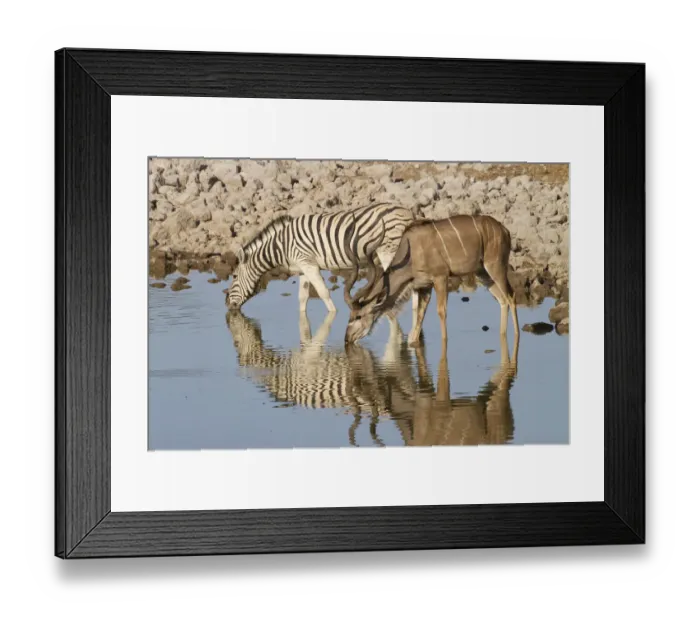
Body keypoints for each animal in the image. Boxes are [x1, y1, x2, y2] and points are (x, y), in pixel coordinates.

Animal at [225, 203, 420, 324]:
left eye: (234, 276)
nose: (227, 305)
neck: (281, 246)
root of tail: (407, 211)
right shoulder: (303, 267)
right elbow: (303, 297)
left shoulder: (309, 264)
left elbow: (323, 293)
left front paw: (333, 316)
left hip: (389, 250)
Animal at [343, 214, 521, 348]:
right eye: (350, 316)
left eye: (358, 316)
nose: (347, 339)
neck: (411, 252)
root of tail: (504, 230)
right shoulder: (424, 286)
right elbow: (418, 320)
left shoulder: (440, 277)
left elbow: (441, 311)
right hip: (482, 272)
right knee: (502, 299)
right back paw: (502, 335)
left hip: (495, 266)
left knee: (511, 296)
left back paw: (517, 336)